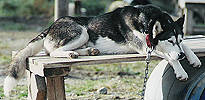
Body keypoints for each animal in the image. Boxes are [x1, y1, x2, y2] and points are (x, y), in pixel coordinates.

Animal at [4, 4, 201, 96]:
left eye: (178, 39)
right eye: (169, 41)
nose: (182, 56)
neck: (146, 21)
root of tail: (52, 25)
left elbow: (186, 46)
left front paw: (193, 58)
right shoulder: (144, 47)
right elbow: (170, 57)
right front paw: (181, 71)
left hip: (82, 36)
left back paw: (88, 51)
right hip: (81, 31)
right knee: (50, 52)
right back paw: (70, 54)